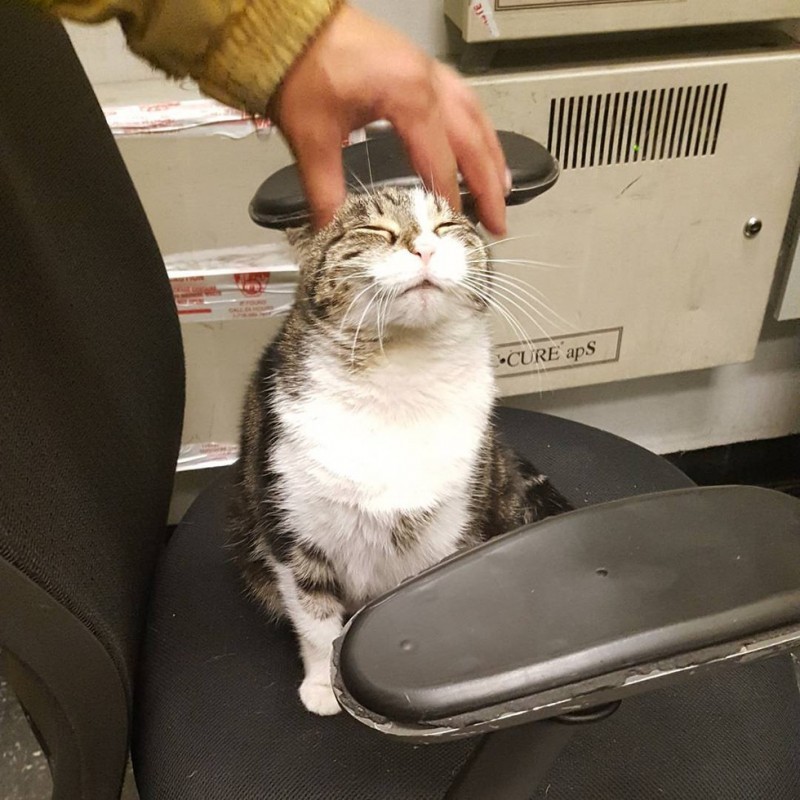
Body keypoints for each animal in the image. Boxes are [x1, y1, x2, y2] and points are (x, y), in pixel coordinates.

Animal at [228, 189, 572, 720]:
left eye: (448, 226)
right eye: (374, 230)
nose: (424, 247)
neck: (400, 376)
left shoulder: (445, 534)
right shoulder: (292, 531)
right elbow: (315, 618)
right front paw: (324, 686)